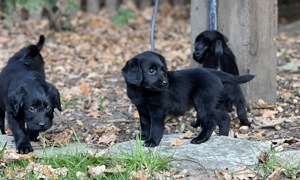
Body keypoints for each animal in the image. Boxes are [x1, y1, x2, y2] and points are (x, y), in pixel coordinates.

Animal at [122, 51, 253, 147]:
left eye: (163, 70)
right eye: (151, 71)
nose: (166, 83)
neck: (144, 91)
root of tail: (215, 73)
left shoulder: (157, 110)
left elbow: (155, 126)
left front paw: (152, 141)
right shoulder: (142, 108)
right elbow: (144, 123)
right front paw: (143, 136)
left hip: (203, 104)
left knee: (211, 122)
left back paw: (200, 139)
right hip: (212, 104)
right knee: (224, 118)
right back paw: (222, 136)